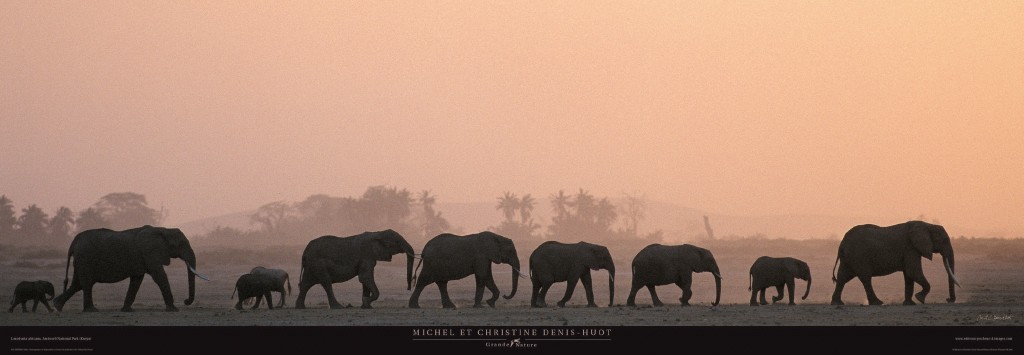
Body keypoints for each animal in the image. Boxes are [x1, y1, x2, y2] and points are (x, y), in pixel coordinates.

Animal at [51, 227, 207, 313]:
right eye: (181, 244)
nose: (186, 301)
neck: (163, 229)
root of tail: (74, 241)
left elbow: (137, 280)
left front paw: (127, 310)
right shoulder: (149, 252)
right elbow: (159, 275)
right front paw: (174, 310)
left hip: (81, 261)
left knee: (78, 284)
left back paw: (57, 306)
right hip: (85, 259)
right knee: (86, 284)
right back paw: (91, 310)